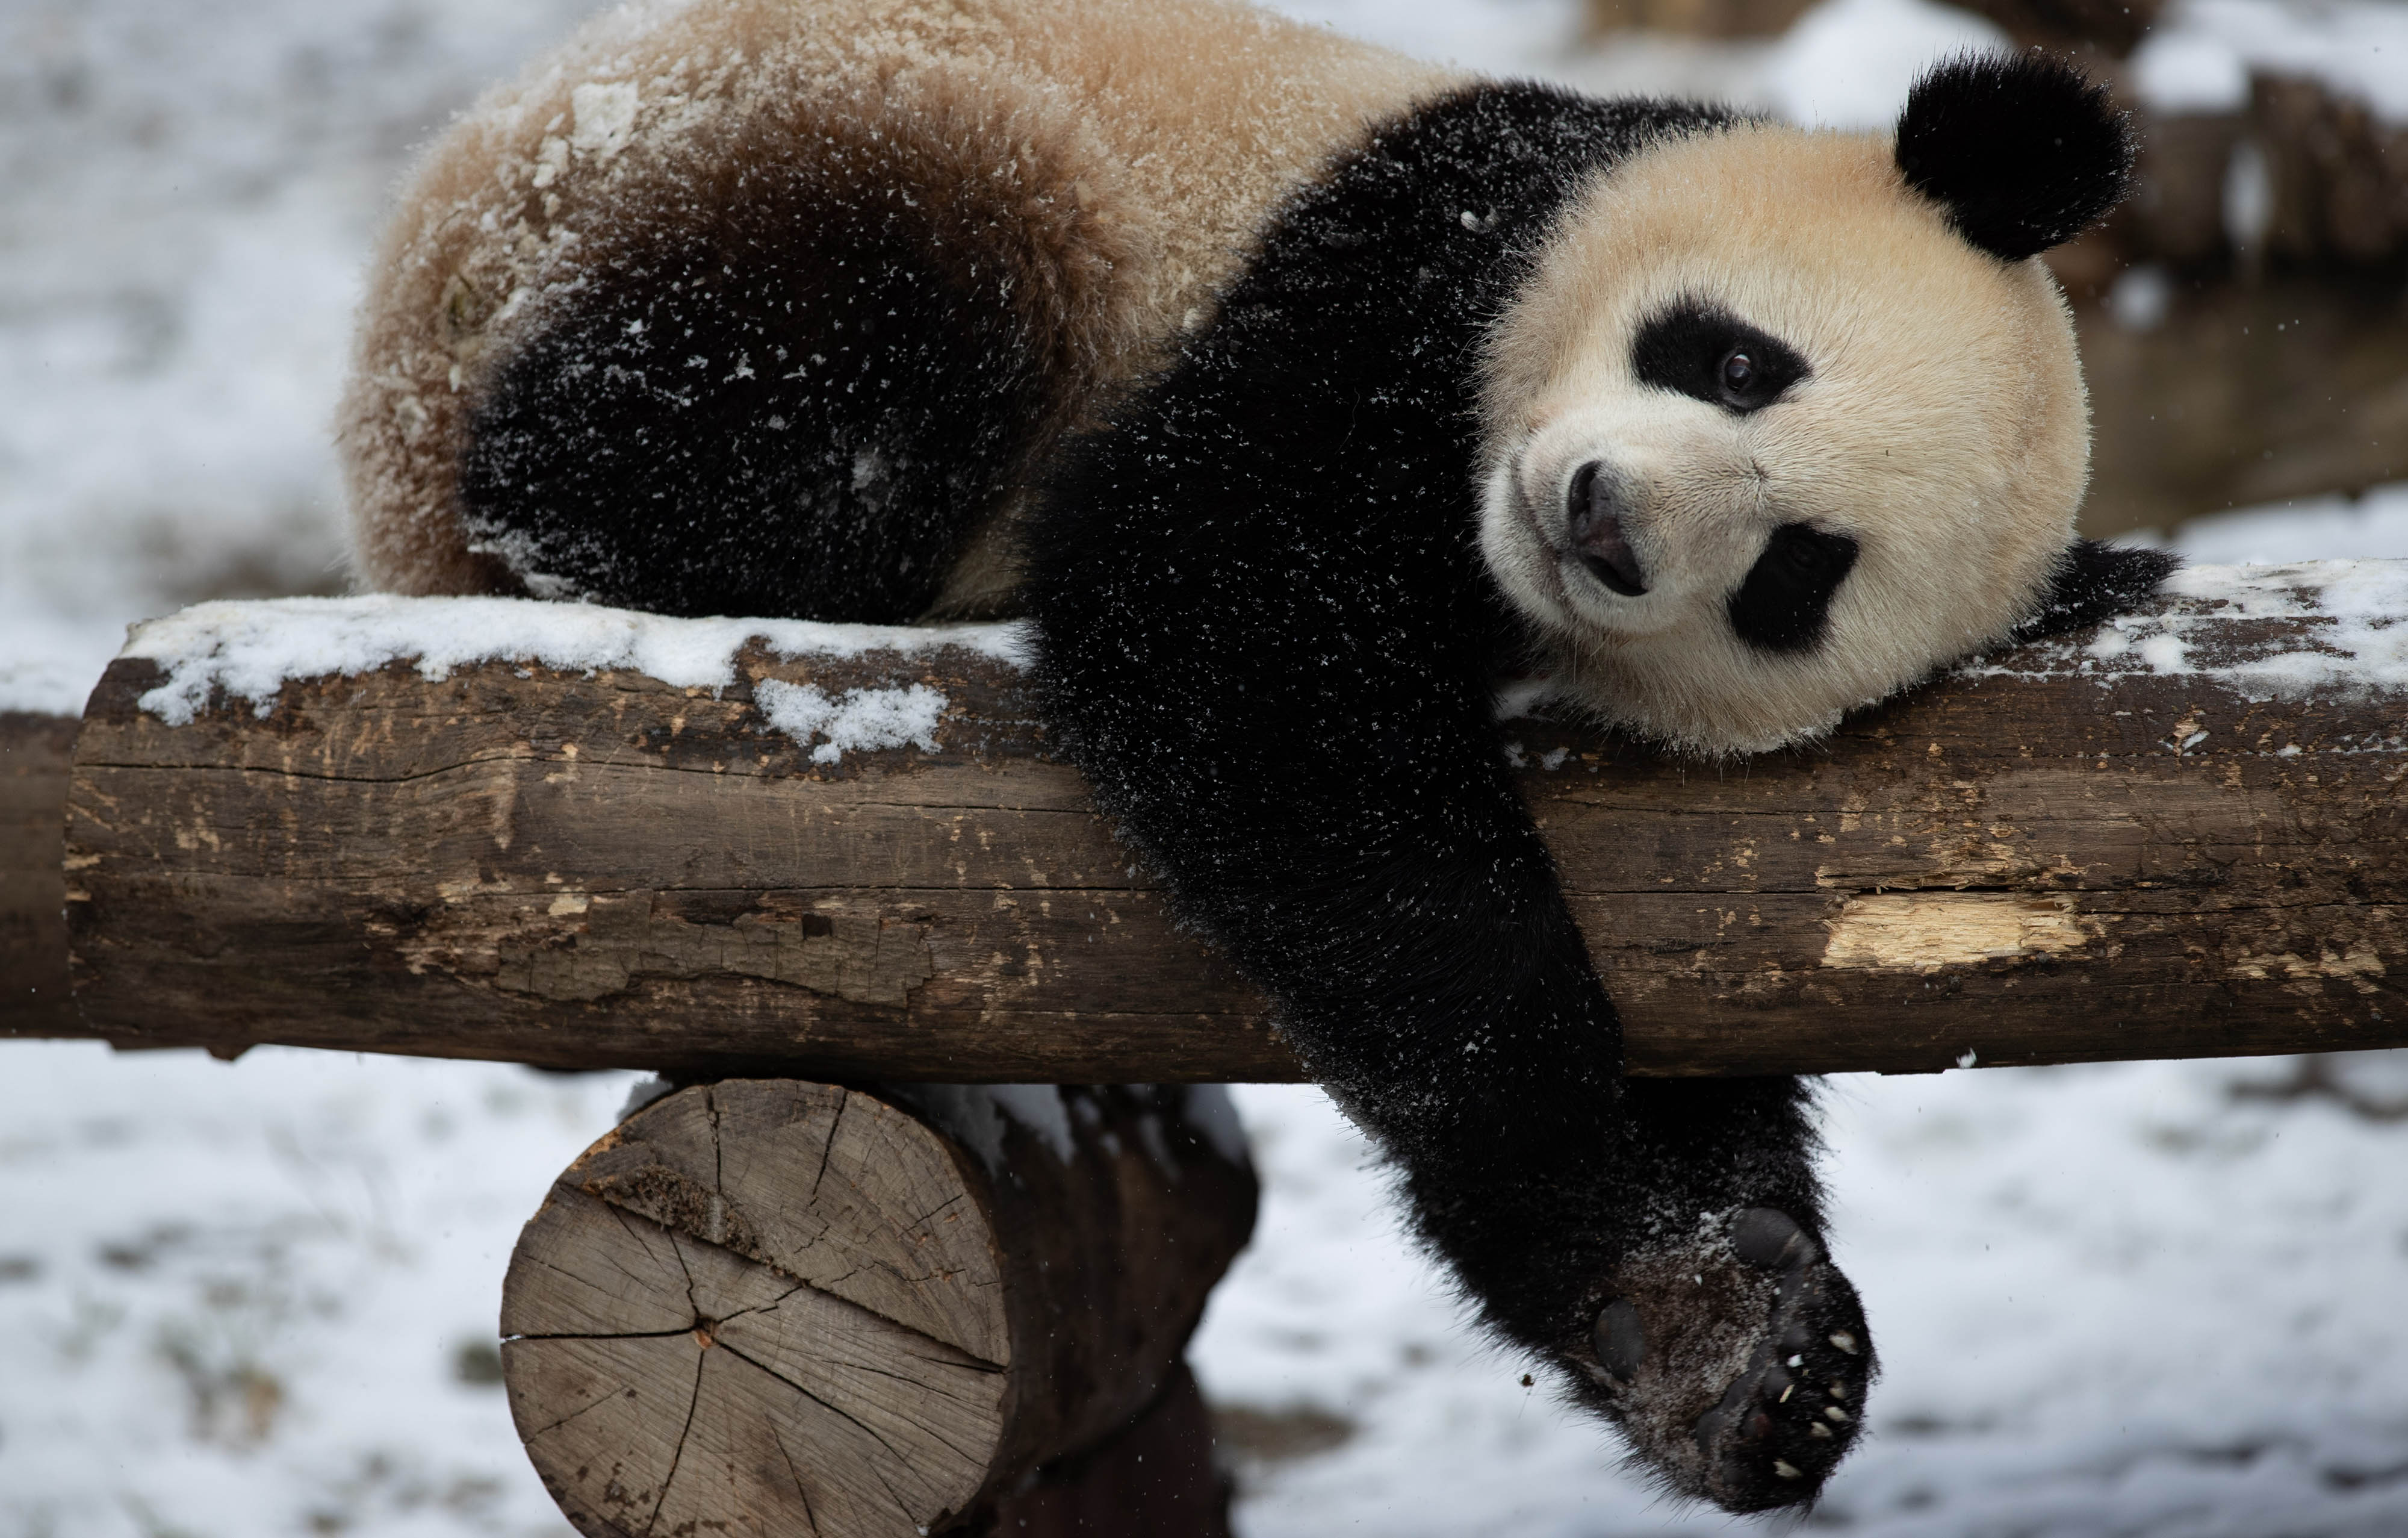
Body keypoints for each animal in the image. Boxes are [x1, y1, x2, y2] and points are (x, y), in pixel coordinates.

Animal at [344, 0, 2186, 1523]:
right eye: (1736, 360)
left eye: (1796, 575)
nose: (1600, 522)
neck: (1486, 552)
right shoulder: (1405, 264)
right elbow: (1225, 624)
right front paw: (1669, 1280)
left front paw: (1751, 1360)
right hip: (799, 157)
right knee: (801, 375)